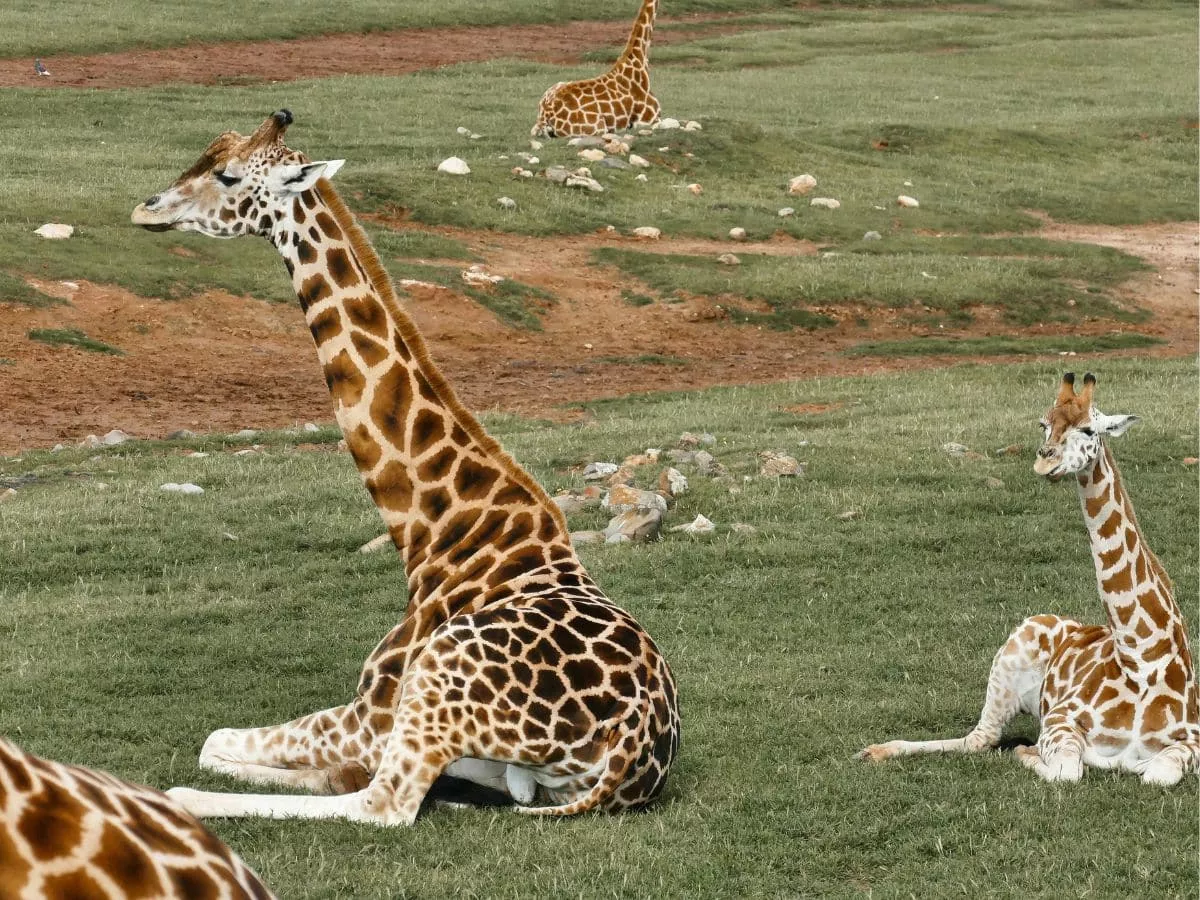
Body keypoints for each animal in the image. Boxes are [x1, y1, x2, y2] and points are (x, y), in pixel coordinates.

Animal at [130, 110, 680, 826]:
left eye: (225, 175)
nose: (145, 209)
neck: (431, 533)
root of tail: (631, 754)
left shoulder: (372, 714)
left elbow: (213, 741)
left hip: (438, 688)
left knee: (381, 803)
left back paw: (183, 801)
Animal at [858, 373, 1198, 785]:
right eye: (1043, 423)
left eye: (1089, 428)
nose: (1043, 460)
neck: (1141, 656)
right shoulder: (1058, 720)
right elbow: (1067, 770)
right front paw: (1027, 751)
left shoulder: (1192, 741)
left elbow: (1157, 773)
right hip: (1008, 659)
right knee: (979, 739)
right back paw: (875, 750)